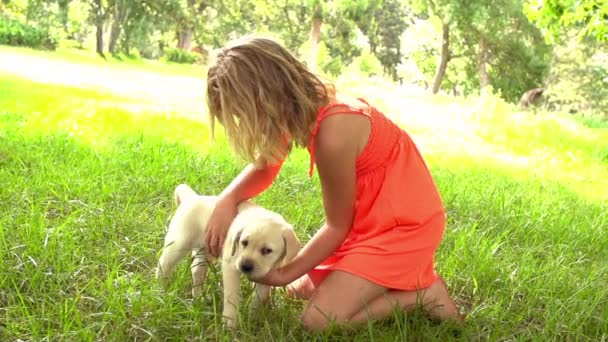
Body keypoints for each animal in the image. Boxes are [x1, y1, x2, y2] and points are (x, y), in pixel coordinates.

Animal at [156, 183, 300, 328]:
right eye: (244, 242)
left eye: (267, 250)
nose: (245, 266)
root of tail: (192, 197)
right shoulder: (230, 266)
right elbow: (232, 296)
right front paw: (229, 323)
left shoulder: (267, 274)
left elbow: (260, 296)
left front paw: (253, 317)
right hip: (178, 243)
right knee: (163, 264)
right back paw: (161, 289)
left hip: (204, 249)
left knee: (196, 270)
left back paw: (199, 298)